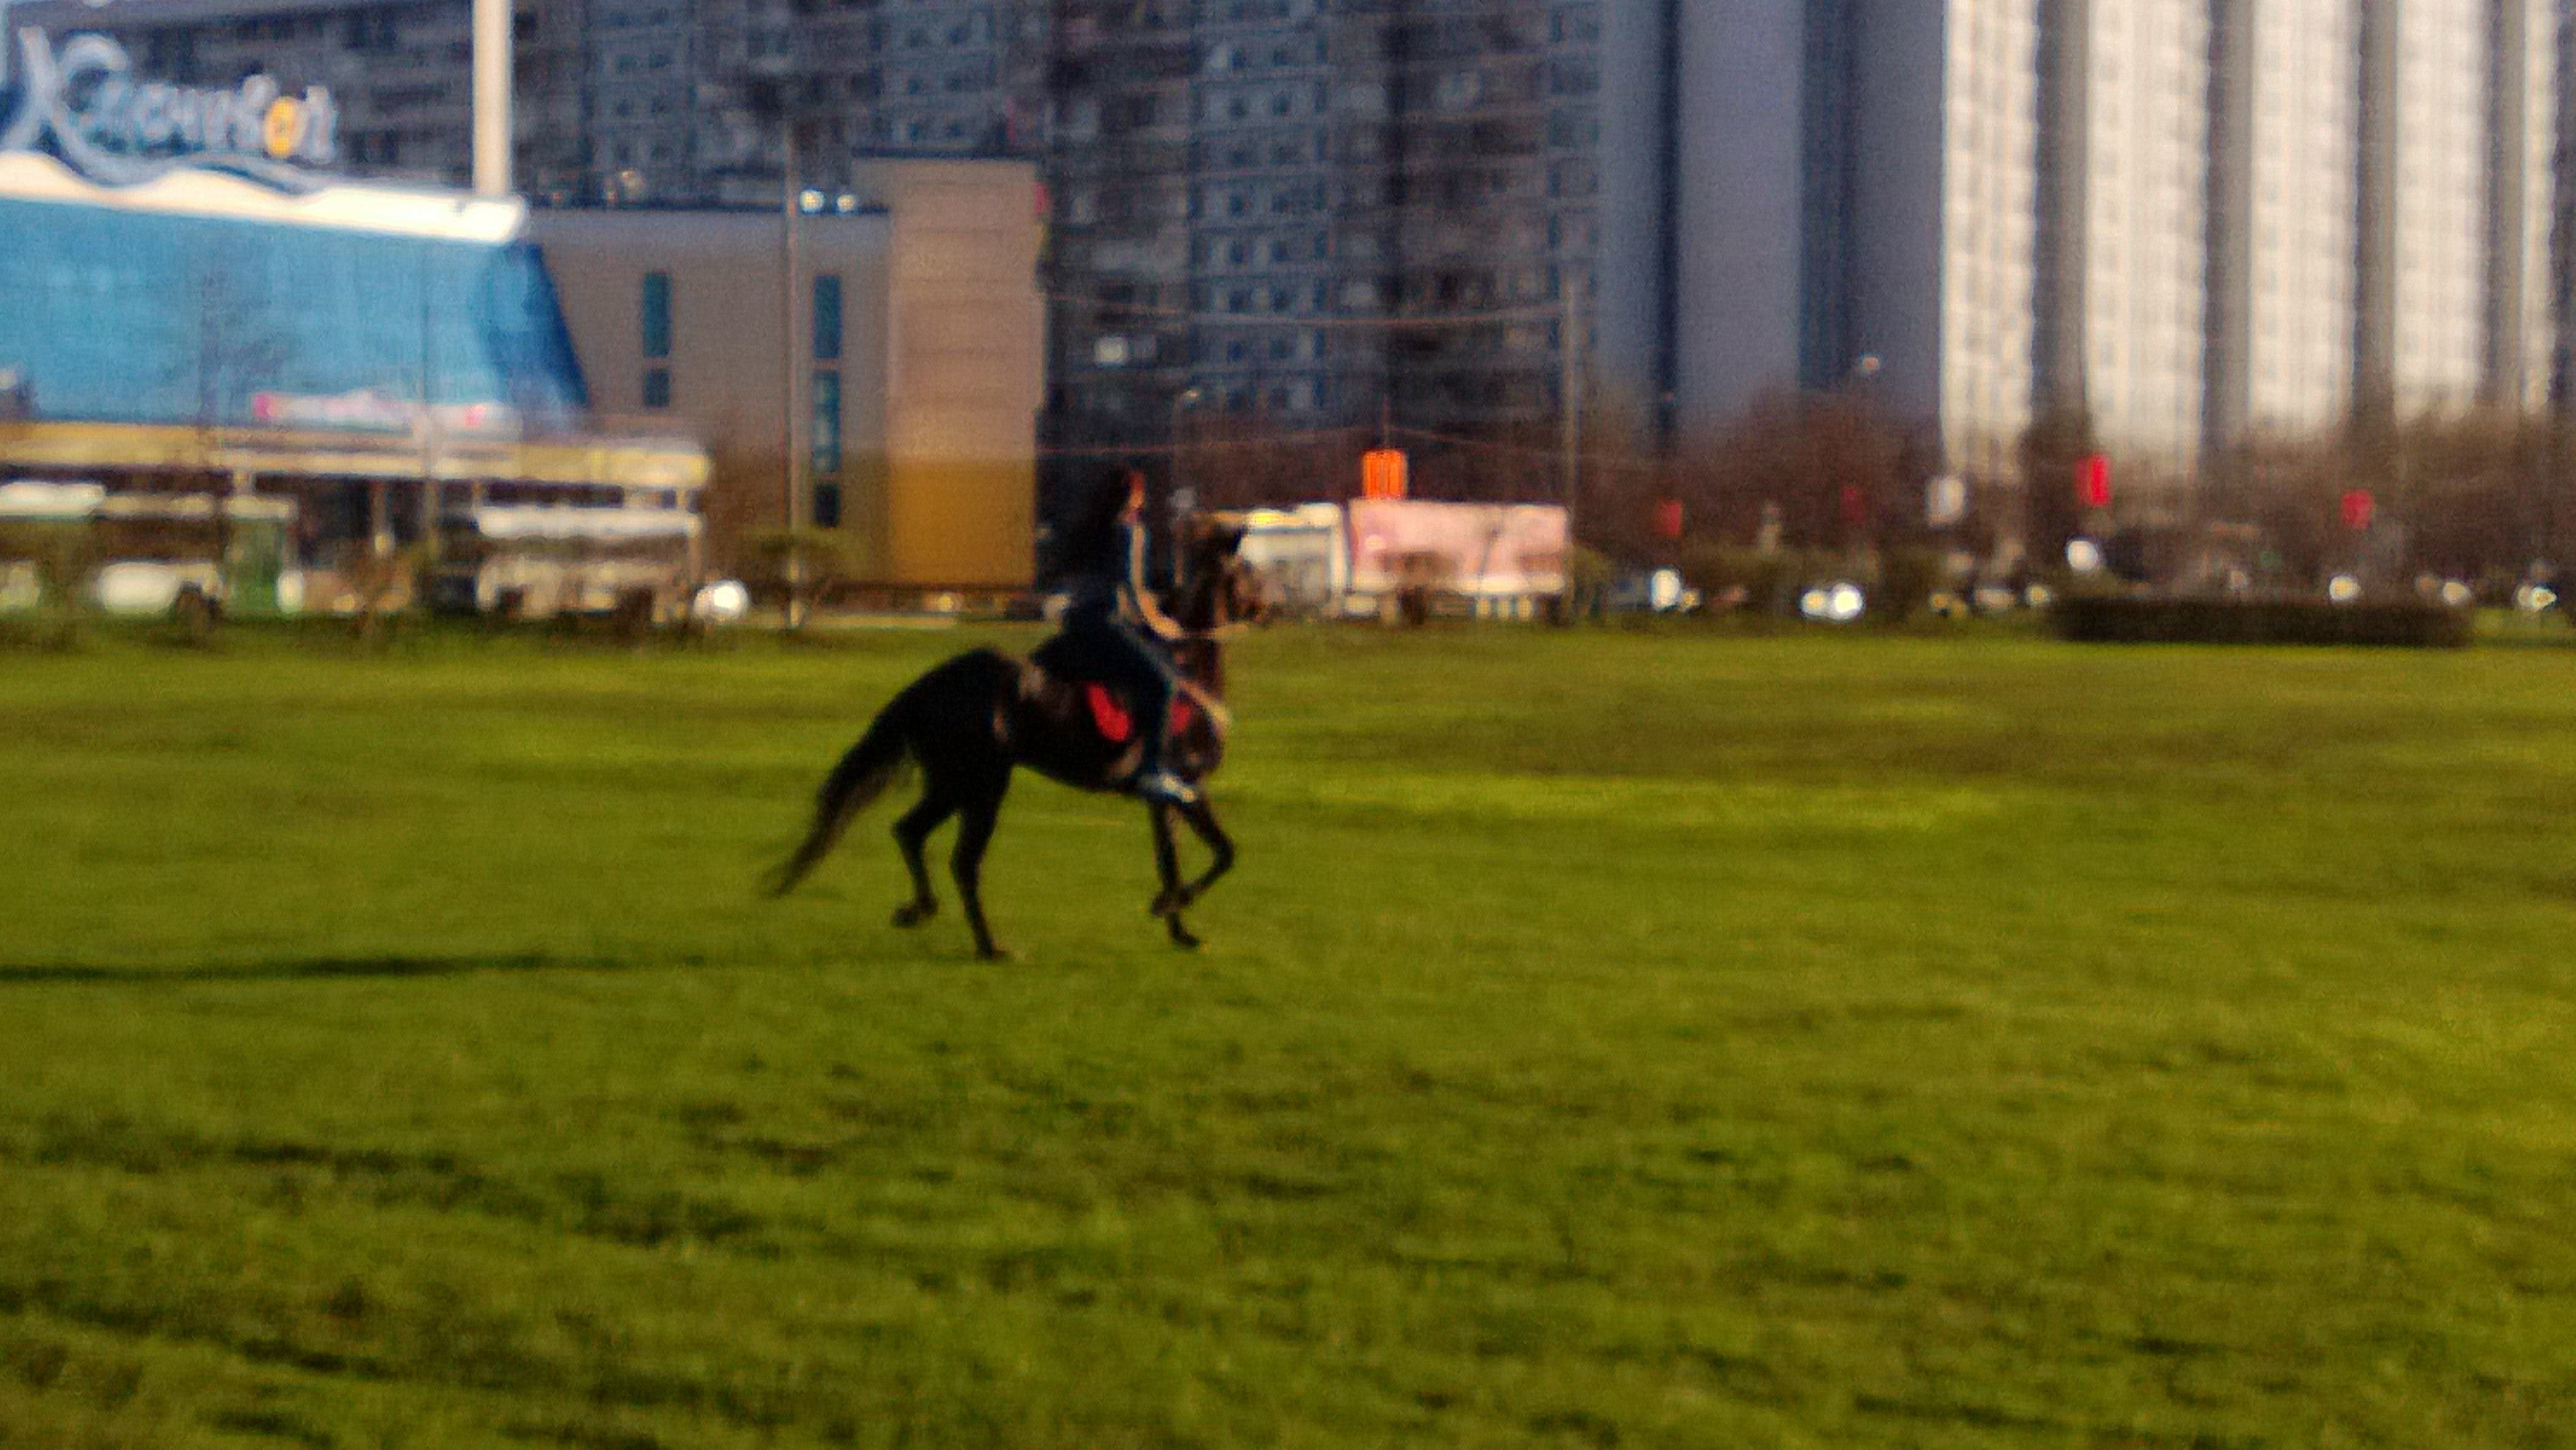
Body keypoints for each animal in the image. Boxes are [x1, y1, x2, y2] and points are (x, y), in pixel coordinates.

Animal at [762, 515, 1247, 958]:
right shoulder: (1189, 787)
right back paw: (989, 945)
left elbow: (1171, 861)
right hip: (982, 786)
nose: (1264, 608)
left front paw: (1179, 927)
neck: (1191, 676)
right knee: (963, 861)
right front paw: (1170, 906)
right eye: (1247, 574)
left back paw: (920, 910)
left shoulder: (1165, 801)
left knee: (910, 832)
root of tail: (937, 681)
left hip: (952, 784)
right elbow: (1224, 854)